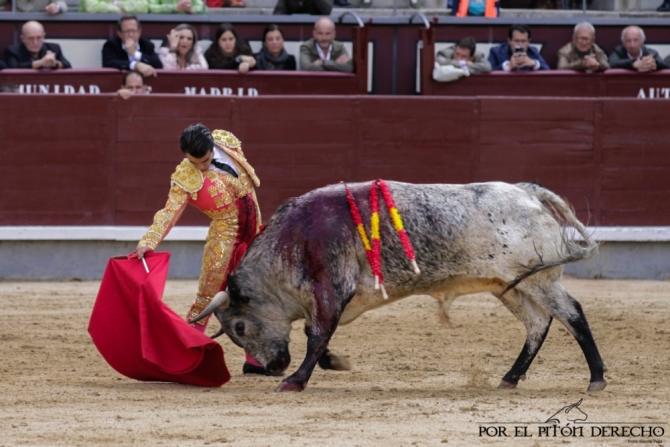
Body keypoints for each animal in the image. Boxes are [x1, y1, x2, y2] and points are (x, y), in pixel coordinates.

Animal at [190, 180, 608, 394]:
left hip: (538, 279)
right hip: (511, 285)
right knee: (538, 324)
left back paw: (597, 379)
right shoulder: (328, 297)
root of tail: (529, 192)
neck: (293, 239)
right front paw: (333, 363)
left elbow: (317, 336)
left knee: (573, 315)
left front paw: (296, 381)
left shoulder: (331, 286)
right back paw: (509, 378)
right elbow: (317, 335)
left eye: (240, 326)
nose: (274, 367)